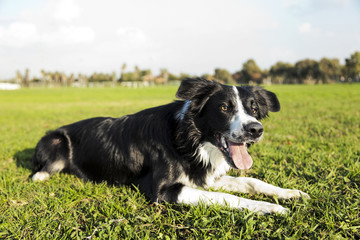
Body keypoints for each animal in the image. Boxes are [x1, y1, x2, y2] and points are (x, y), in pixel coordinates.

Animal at [31, 78, 310, 214]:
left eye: (253, 108)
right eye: (224, 107)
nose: (256, 130)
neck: (188, 139)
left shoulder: (204, 176)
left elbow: (251, 181)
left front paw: (289, 193)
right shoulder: (163, 191)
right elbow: (227, 197)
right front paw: (270, 208)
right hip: (55, 140)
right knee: (42, 168)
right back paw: (40, 176)